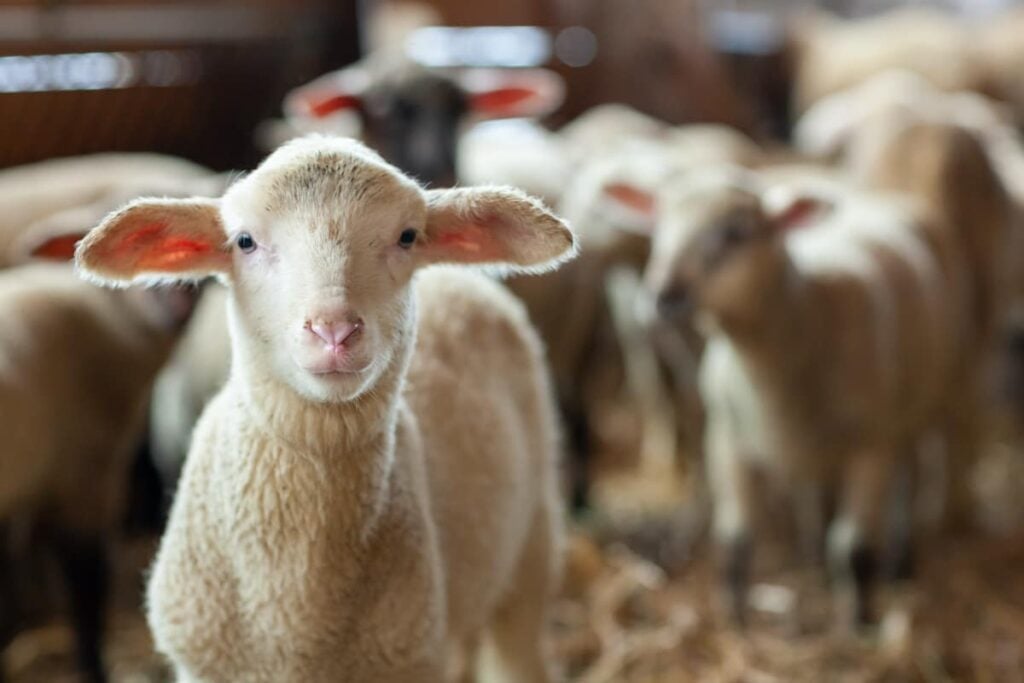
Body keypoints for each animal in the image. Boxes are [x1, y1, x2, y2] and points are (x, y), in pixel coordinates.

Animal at [601, 166, 967, 626]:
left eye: (736, 232)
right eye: (659, 225)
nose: (663, 296)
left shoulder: (870, 447)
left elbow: (853, 546)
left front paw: (858, 622)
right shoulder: (728, 439)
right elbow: (736, 538)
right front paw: (734, 620)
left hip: (920, 407)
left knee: (909, 480)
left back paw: (900, 564)